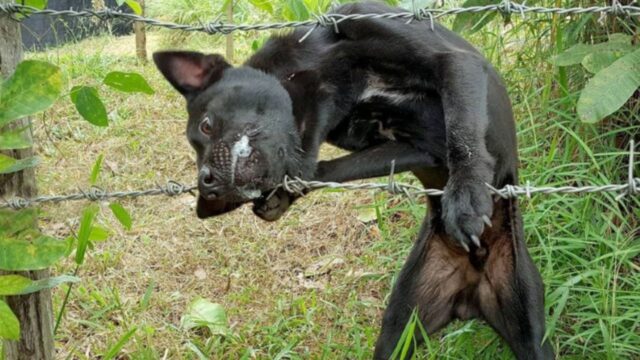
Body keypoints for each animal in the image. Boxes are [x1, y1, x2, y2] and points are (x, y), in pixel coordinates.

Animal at [152, 2, 552, 358]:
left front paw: (466, 194)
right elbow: (329, 169)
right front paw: (283, 195)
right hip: (401, 324)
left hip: (530, 325)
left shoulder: (452, 62)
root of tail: (472, 288)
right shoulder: (412, 147)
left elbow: (462, 134)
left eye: (206, 126)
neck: (328, 74)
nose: (207, 184)